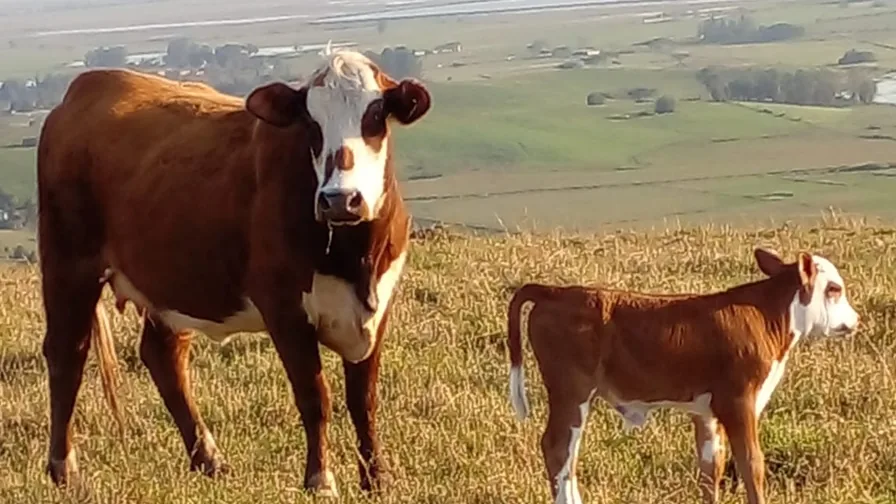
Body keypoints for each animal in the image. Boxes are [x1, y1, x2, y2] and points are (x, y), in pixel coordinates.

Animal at [36, 47, 431, 497]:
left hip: (174, 280)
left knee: (162, 356)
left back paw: (208, 459)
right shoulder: (284, 309)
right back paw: (65, 470)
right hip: (68, 263)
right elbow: (315, 397)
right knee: (67, 354)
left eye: (376, 114)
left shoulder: (377, 308)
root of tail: (88, 85)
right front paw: (320, 479)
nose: (340, 199)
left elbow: (363, 400)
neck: (353, 256)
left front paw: (377, 480)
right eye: (311, 122)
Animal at [505, 248, 860, 504]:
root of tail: (556, 292)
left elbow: (711, 467)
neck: (767, 315)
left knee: (569, 453)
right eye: (834, 289)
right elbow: (751, 463)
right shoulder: (738, 402)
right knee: (557, 449)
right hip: (571, 392)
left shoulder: (707, 412)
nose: (855, 320)